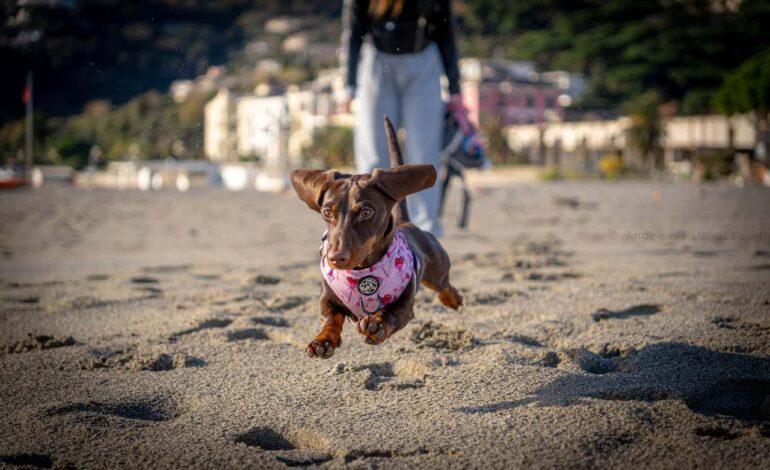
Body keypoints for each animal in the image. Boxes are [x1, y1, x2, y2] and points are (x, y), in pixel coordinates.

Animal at [290, 115, 460, 358]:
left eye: (366, 212)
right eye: (327, 212)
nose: (335, 258)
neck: (363, 272)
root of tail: (406, 222)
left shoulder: (404, 306)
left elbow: (391, 314)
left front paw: (376, 325)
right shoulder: (328, 298)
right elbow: (329, 317)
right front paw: (322, 340)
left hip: (437, 270)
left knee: (444, 285)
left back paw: (453, 299)